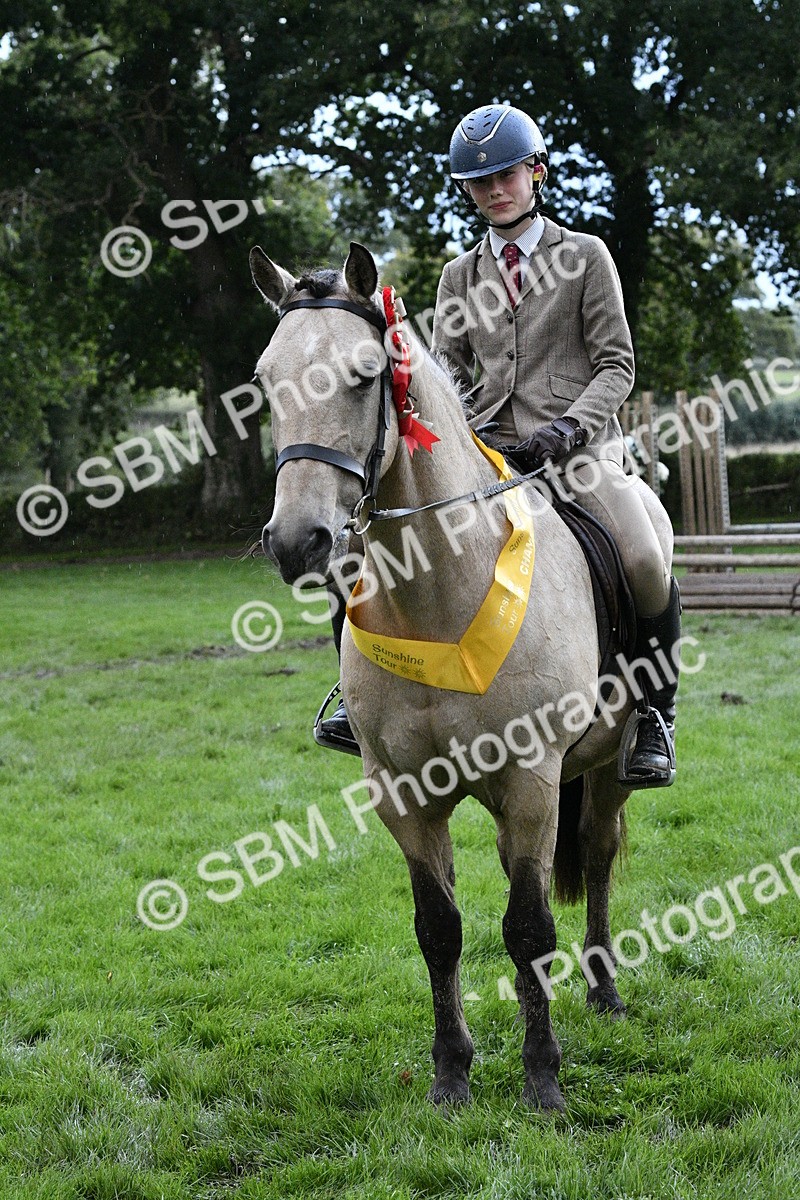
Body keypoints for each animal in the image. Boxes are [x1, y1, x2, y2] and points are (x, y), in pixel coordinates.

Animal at [249, 240, 674, 1111]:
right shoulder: (403, 793)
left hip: (605, 765)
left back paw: (605, 990)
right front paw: (451, 1072)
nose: (297, 540)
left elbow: (529, 928)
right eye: (268, 379)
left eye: (365, 374)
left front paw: (542, 1078)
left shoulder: (532, 781)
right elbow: (439, 929)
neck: (439, 596)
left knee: (599, 853)